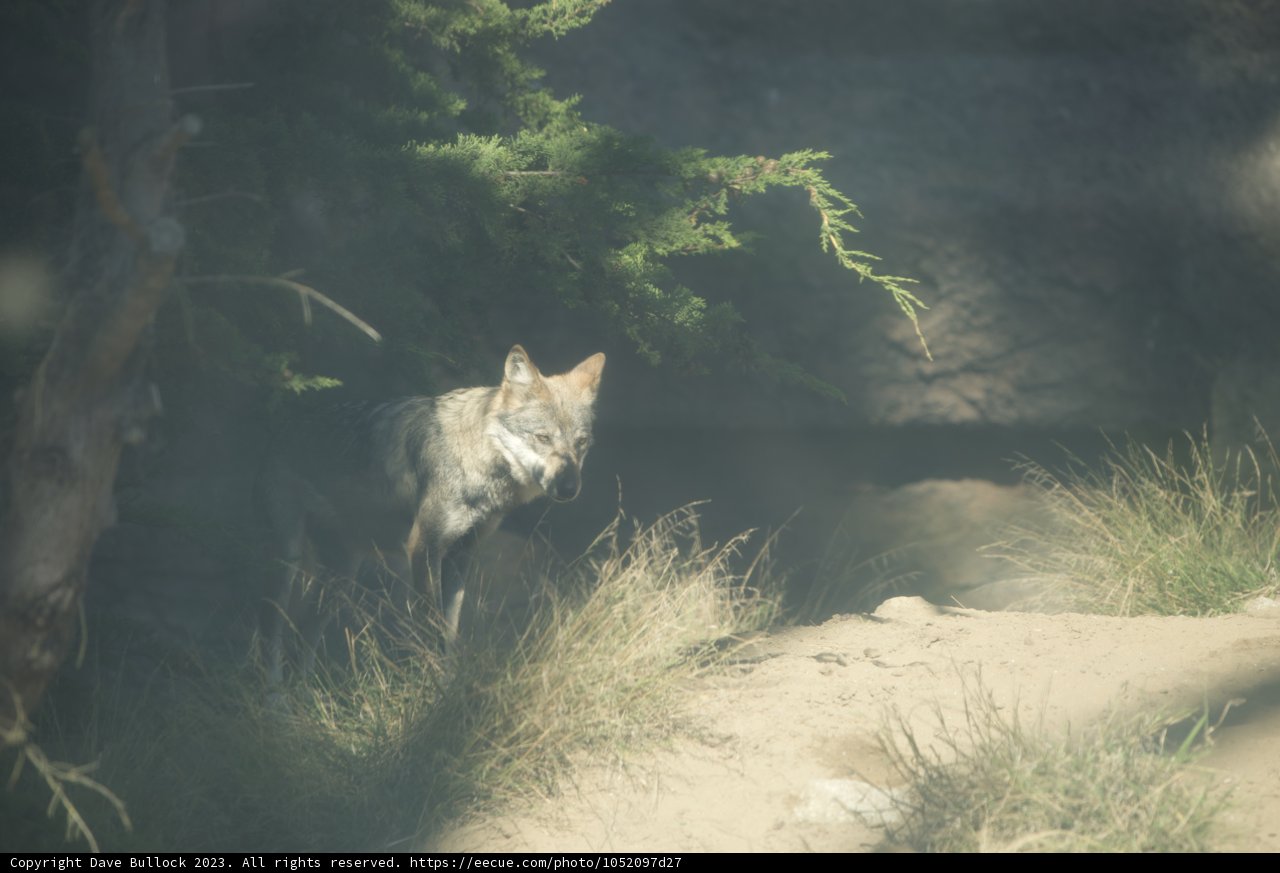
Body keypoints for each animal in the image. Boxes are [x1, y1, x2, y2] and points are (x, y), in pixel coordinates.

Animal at [258, 345, 605, 681]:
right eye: (543, 437)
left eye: (581, 443)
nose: (569, 488)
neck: (476, 461)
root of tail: (279, 422)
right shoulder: (424, 548)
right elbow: (431, 627)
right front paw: (433, 685)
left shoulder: (460, 554)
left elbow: (449, 631)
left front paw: (446, 684)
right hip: (287, 563)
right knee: (272, 636)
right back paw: (275, 695)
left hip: (342, 575)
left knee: (304, 634)